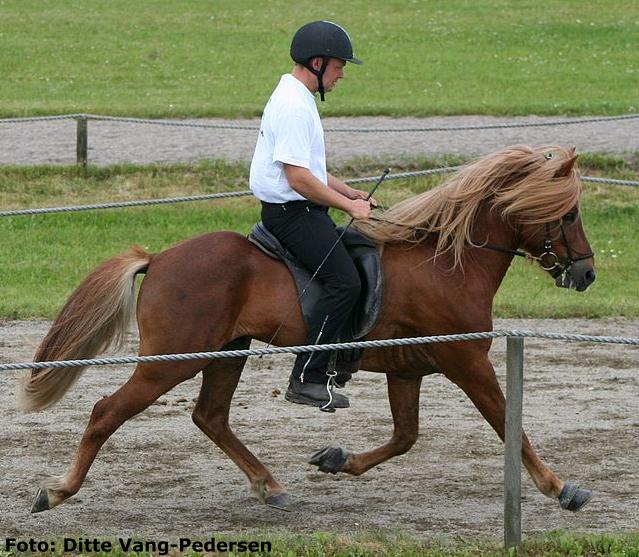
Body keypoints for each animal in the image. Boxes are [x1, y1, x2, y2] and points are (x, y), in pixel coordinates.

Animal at [21, 143, 600, 512]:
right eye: (570, 214)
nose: (587, 273)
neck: (447, 262)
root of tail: (159, 258)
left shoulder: (409, 370)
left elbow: (405, 437)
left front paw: (336, 459)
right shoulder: (468, 362)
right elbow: (509, 424)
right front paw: (560, 488)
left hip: (227, 352)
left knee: (211, 417)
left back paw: (269, 486)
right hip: (173, 361)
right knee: (106, 412)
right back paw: (58, 491)